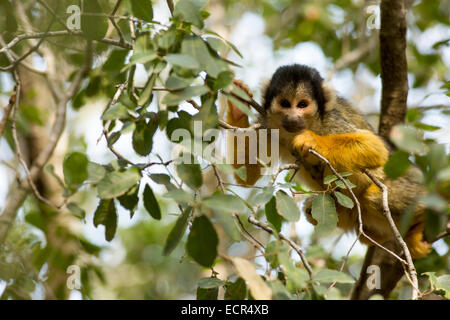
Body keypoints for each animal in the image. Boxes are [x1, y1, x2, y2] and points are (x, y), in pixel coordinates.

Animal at [227, 64, 430, 260]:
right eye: (285, 104)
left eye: (302, 105)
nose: (292, 117)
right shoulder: (267, 124)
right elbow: (247, 176)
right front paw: (238, 105)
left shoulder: (331, 121)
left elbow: (375, 148)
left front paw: (311, 141)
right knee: (313, 209)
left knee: (374, 194)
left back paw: (418, 225)